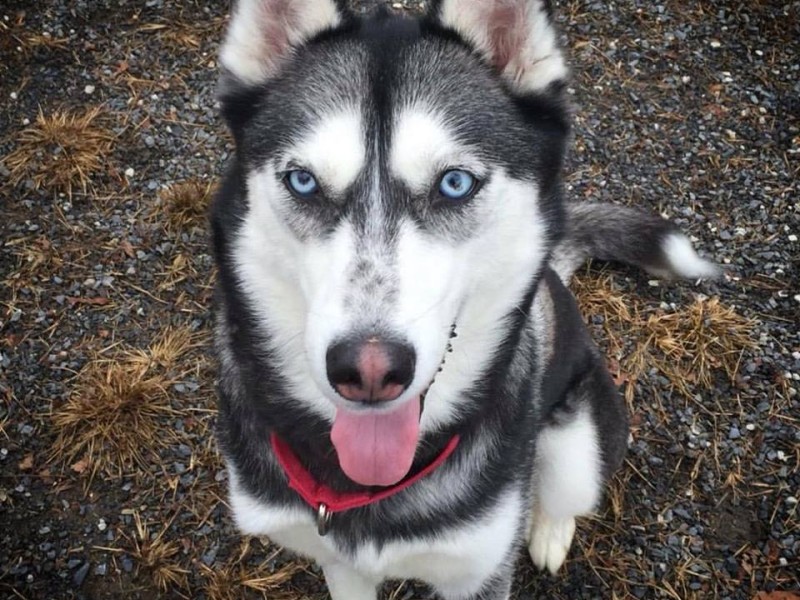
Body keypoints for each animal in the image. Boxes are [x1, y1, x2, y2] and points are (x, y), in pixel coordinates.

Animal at [210, 1, 720, 598]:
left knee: (565, 494)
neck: (364, 485)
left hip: (581, 439)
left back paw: (549, 532)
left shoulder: (479, 570)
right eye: (303, 182)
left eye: (454, 183)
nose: (368, 370)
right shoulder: (336, 561)